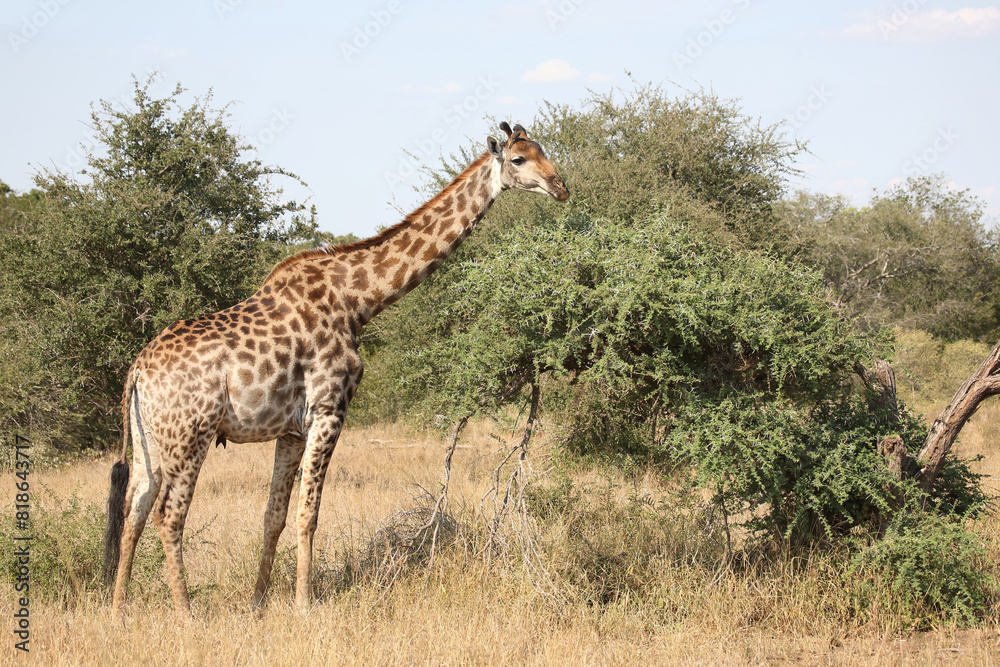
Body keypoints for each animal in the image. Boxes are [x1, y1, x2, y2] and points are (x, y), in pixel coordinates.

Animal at [102, 122, 569, 614]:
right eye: (518, 159)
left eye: (542, 150)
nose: (561, 187)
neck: (357, 300)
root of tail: (137, 371)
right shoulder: (329, 410)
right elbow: (309, 514)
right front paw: (304, 605)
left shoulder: (289, 428)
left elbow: (274, 516)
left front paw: (258, 605)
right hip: (191, 433)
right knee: (169, 514)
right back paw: (186, 613)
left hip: (151, 439)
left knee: (135, 507)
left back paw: (119, 610)